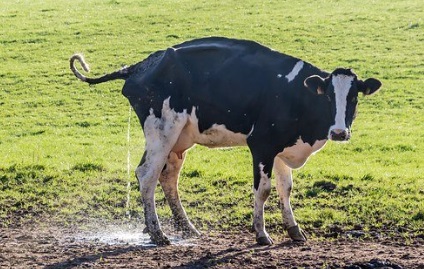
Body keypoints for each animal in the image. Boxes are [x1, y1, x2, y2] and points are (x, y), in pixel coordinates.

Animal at [69, 36, 380, 245]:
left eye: (354, 98)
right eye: (328, 96)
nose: (339, 132)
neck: (294, 94)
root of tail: (141, 65)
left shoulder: (281, 148)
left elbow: (286, 188)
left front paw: (294, 230)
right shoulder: (261, 145)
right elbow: (264, 190)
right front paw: (261, 233)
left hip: (177, 140)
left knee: (167, 177)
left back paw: (185, 228)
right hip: (162, 131)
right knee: (147, 175)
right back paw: (158, 233)